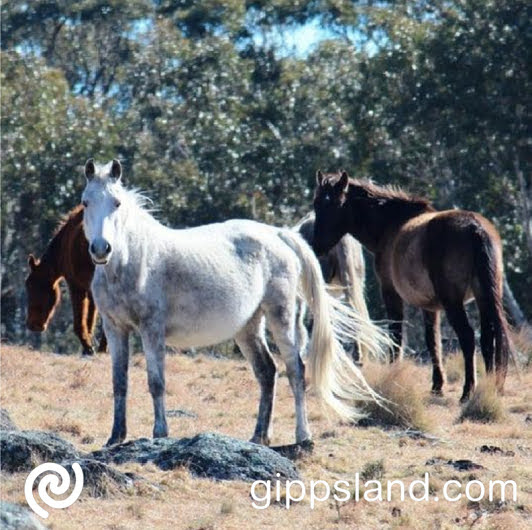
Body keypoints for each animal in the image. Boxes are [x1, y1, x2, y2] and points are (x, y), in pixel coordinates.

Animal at [25, 204, 106, 352]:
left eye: (31, 285)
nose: (32, 325)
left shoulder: (76, 285)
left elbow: (80, 323)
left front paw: (88, 348)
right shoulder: (91, 290)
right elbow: (90, 320)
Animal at [83, 160, 390, 446]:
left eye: (117, 203)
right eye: (85, 202)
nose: (101, 249)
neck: (132, 261)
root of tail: (280, 235)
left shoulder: (151, 329)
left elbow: (156, 382)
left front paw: (160, 433)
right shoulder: (115, 329)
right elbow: (119, 383)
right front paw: (115, 437)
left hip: (281, 316)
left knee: (295, 370)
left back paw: (303, 435)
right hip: (248, 327)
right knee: (267, 372)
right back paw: (259, 436)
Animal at [312, 170, 512, 400]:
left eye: (336, 204)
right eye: (316, 204)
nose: (316, 246)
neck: (391, 224)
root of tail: (475, 229)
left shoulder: (391, 293)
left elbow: (396, 336)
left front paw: (392, 376)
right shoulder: (430, 306)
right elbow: (433, 341)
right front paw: (437, 385)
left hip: (453, 302)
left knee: (468, 337)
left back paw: (467, 391)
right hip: (483, 296)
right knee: (488, 339)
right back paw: (489, 388)